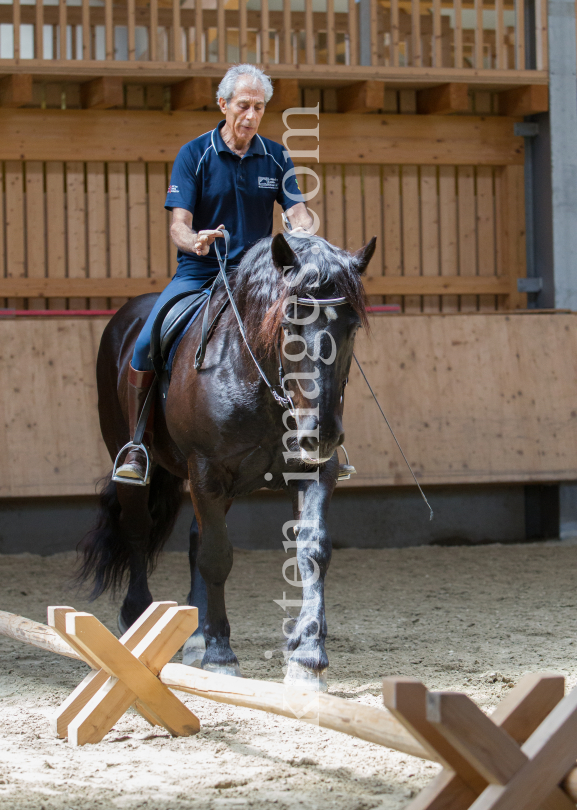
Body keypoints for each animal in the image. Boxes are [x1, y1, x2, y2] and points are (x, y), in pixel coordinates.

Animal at [79, 232, 376, 688]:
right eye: (288, 322)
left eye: (352, 326)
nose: (321, 431)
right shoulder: (207, 469)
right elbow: (217, 556)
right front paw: (221, 655)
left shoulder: (312, 469)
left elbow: (312, 549)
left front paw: (307, 656)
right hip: (132, 458)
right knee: (138, 528)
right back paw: (138, 617)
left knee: (194, 537)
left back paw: (196, 635)